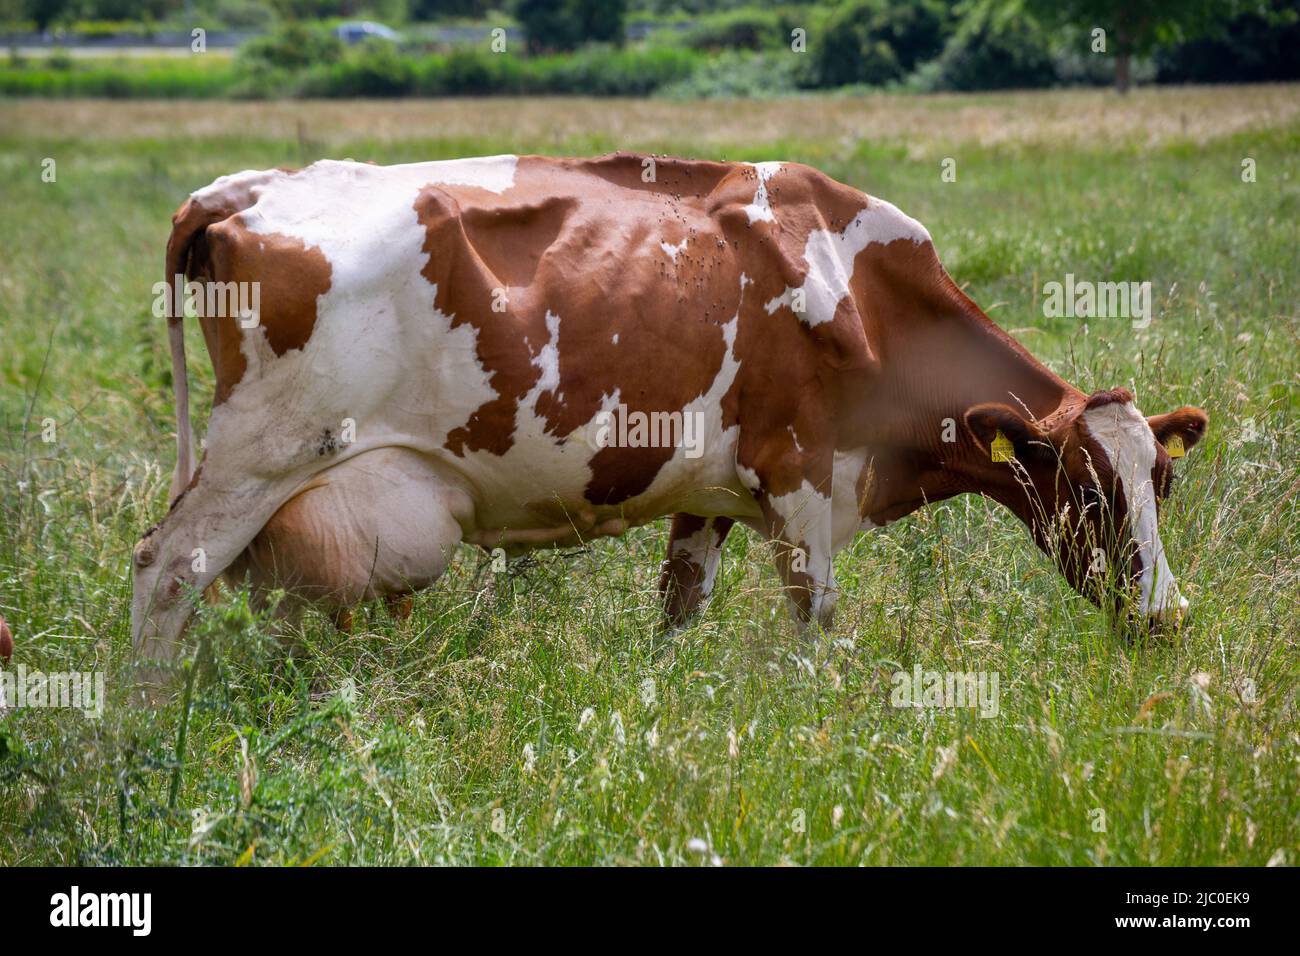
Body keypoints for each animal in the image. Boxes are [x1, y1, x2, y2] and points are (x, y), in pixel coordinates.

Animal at [126, 149, 1201, 691]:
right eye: (1091, 494)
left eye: (1163, 482)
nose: (1166, 621)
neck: (861, 289)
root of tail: (246, 186)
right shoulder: (804, 483)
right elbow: (817, 622)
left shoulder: (709, 493)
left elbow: (678, 611)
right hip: (258, 456)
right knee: (165, 571)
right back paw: (141, 723)